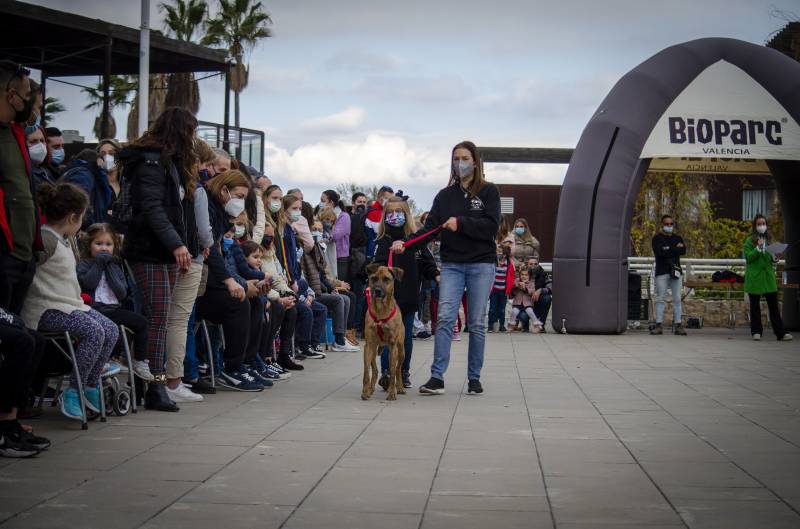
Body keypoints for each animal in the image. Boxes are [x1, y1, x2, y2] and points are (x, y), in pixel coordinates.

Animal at [366, 262, 410, 402]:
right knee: (374, 370)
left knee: (398, 369)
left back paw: (399, 387)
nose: (377, 291)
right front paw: (365, 392)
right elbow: (366, 372)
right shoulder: (368, 344)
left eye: (386, 279)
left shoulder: (393, 345)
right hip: (373, 350)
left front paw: (392, 393)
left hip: (401, 351)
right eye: (374, 278)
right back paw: (370, 389)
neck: (381, 311)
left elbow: (392, 370)